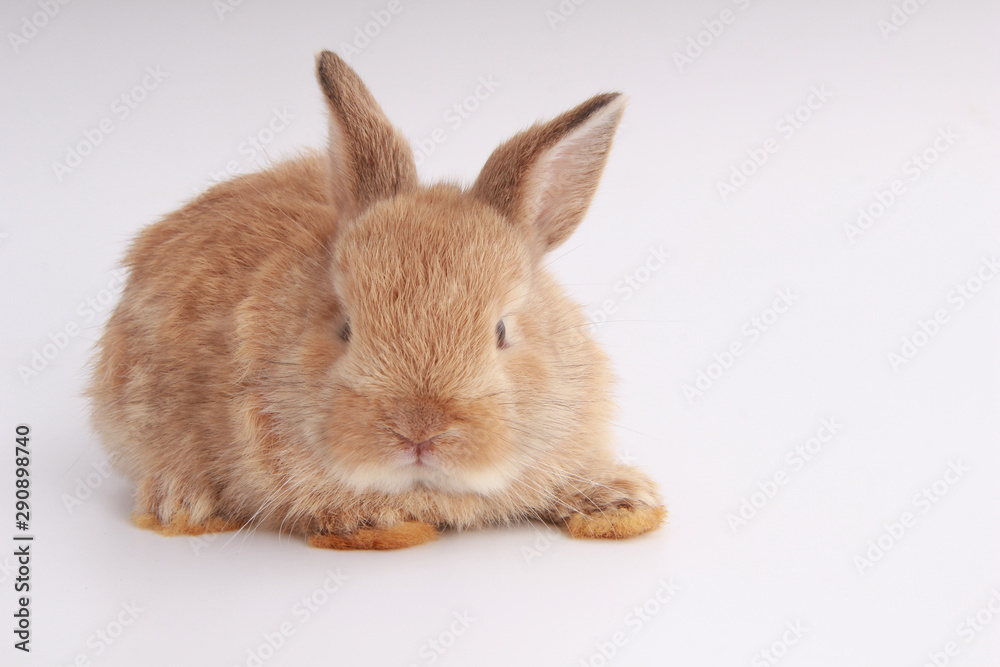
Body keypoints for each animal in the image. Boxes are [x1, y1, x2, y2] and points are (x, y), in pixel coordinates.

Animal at [87, 51, 666, 550]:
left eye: (502, 331)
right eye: (344, 327)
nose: (418, 432)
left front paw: (623, 500)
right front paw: (387, 525)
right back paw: (181, 503)